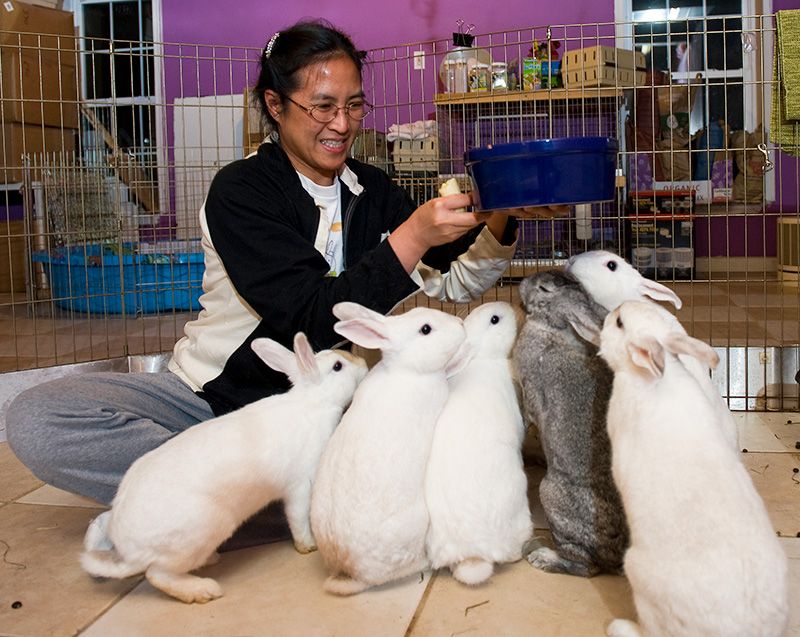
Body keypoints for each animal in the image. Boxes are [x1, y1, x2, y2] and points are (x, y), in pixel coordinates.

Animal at [80, 332, 367, 604]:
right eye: (338, 366)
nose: (364, 365)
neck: (313, 402)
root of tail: (129, 551)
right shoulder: (300, 485)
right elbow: (298, 519)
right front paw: (308, 546)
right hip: (198, 533)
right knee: (158, 574)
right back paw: (202, 589)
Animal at [512, 270, 628, 577]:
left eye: (543, 289)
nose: (522, 283)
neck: (555, 328)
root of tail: (616, 558)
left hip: (549, 494)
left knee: (585, 567)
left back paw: (542, 557)